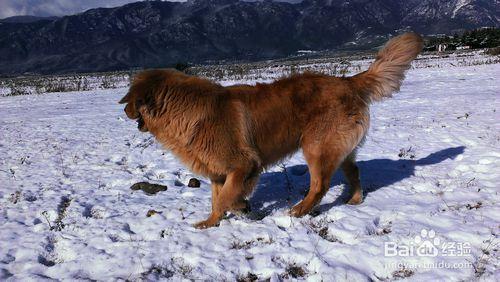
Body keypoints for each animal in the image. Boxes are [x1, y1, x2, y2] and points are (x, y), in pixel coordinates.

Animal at [120, 32, 422, 228]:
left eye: (131, 101)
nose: (122, 110)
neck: (184, 110)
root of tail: (347, 81)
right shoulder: (219, 173)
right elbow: (218, 200)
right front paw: (210, 222)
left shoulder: (243, 165)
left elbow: (227, 197)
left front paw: (241, 207)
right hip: (340, 148)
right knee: (354, 171)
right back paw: (356, 199)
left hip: (316, 147)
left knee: (320, 185)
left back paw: (299, 210)